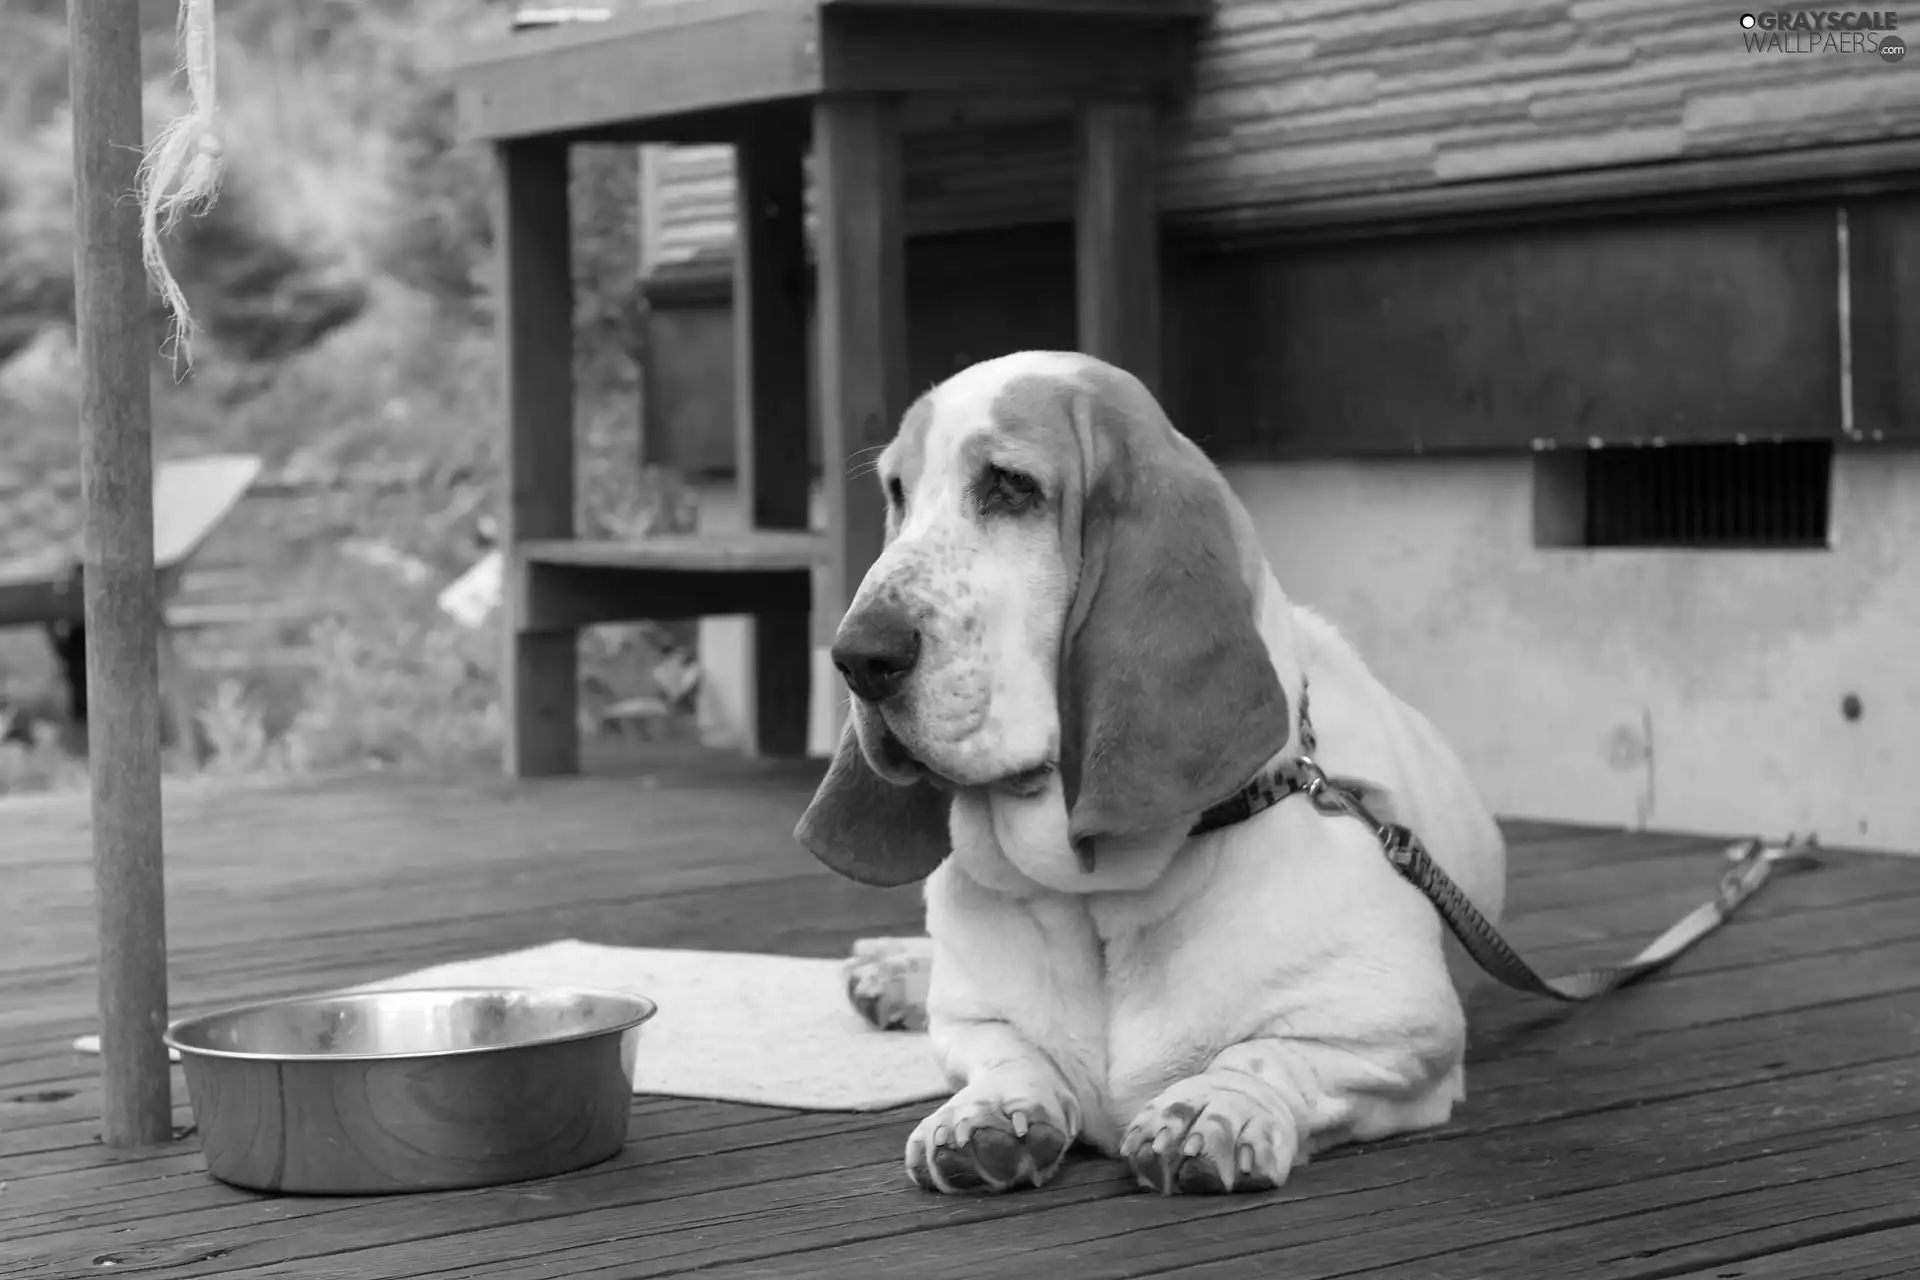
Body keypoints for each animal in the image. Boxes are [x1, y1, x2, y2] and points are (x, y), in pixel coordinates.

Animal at [787, 353, 1505, 1205]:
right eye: (898, 490)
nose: (856, 656)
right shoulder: (972, 1025)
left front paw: (1209, 1112)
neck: (1095, 893)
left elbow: (1266, 1054)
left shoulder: (1402, 1038)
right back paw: (891, 971)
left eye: (1010, 486)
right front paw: (988, 1113)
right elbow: (1003, 1048)